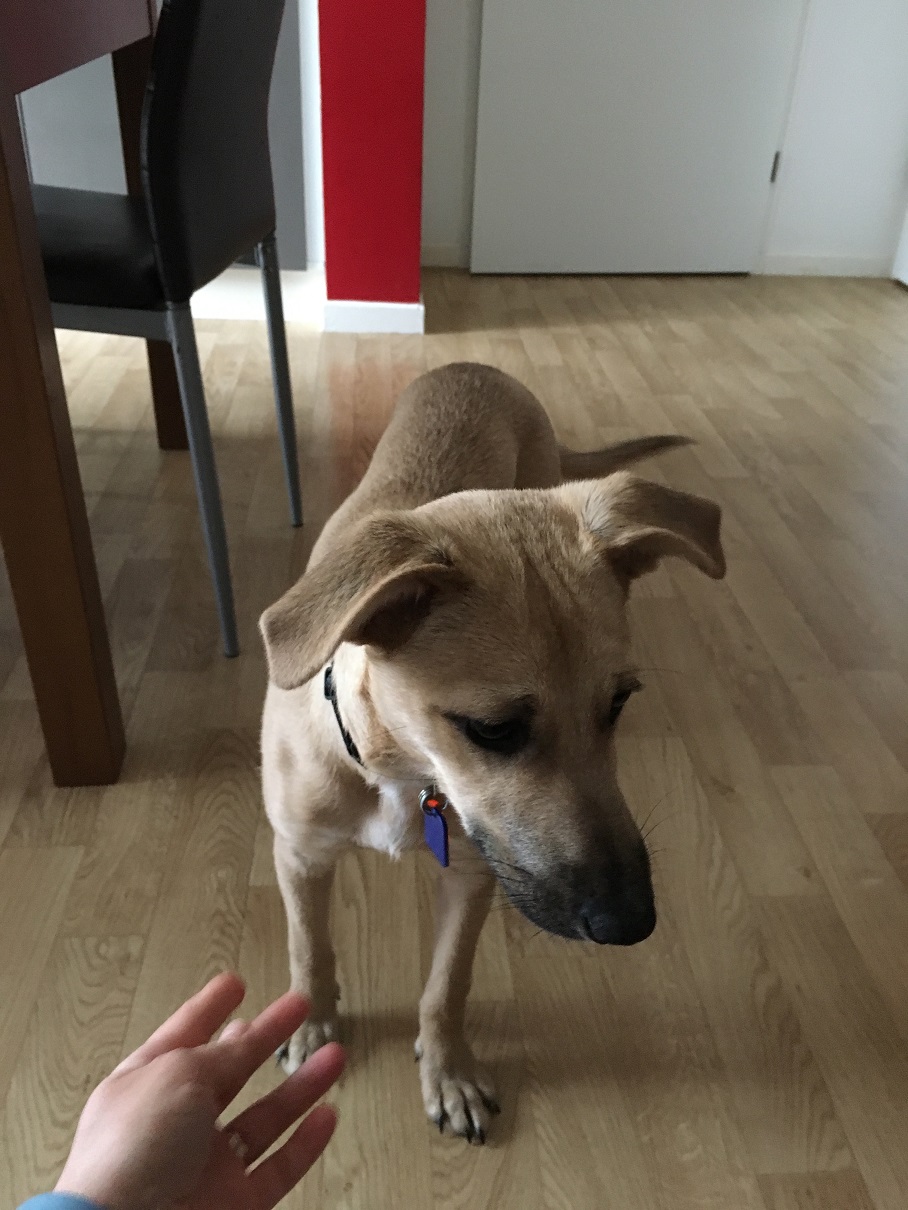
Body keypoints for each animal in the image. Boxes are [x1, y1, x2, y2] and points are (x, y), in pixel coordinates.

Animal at [259, 362, 725, 1143]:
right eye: (493, 729)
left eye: (618, 703)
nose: (630, 924)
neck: (398, 767)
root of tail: (475, 367)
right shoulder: (301, 853)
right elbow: (306, 948)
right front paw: (313, 1023)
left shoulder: (474, 875)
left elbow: (447, 986)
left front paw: (448, 1072)